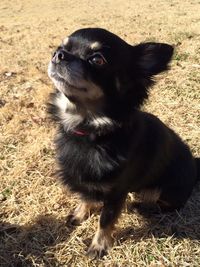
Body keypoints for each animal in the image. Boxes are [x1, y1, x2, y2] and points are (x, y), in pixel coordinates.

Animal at [47, 28, 199, 258]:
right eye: (61, 47)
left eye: (97, 59)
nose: (58, 55)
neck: (91, 131)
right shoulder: (88, 177)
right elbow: (86, 196)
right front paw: (81, 213)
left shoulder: (116, 192)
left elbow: (105, 221)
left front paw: (99, 246)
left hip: (164, 190)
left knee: (164, 205)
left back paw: (140, 207)